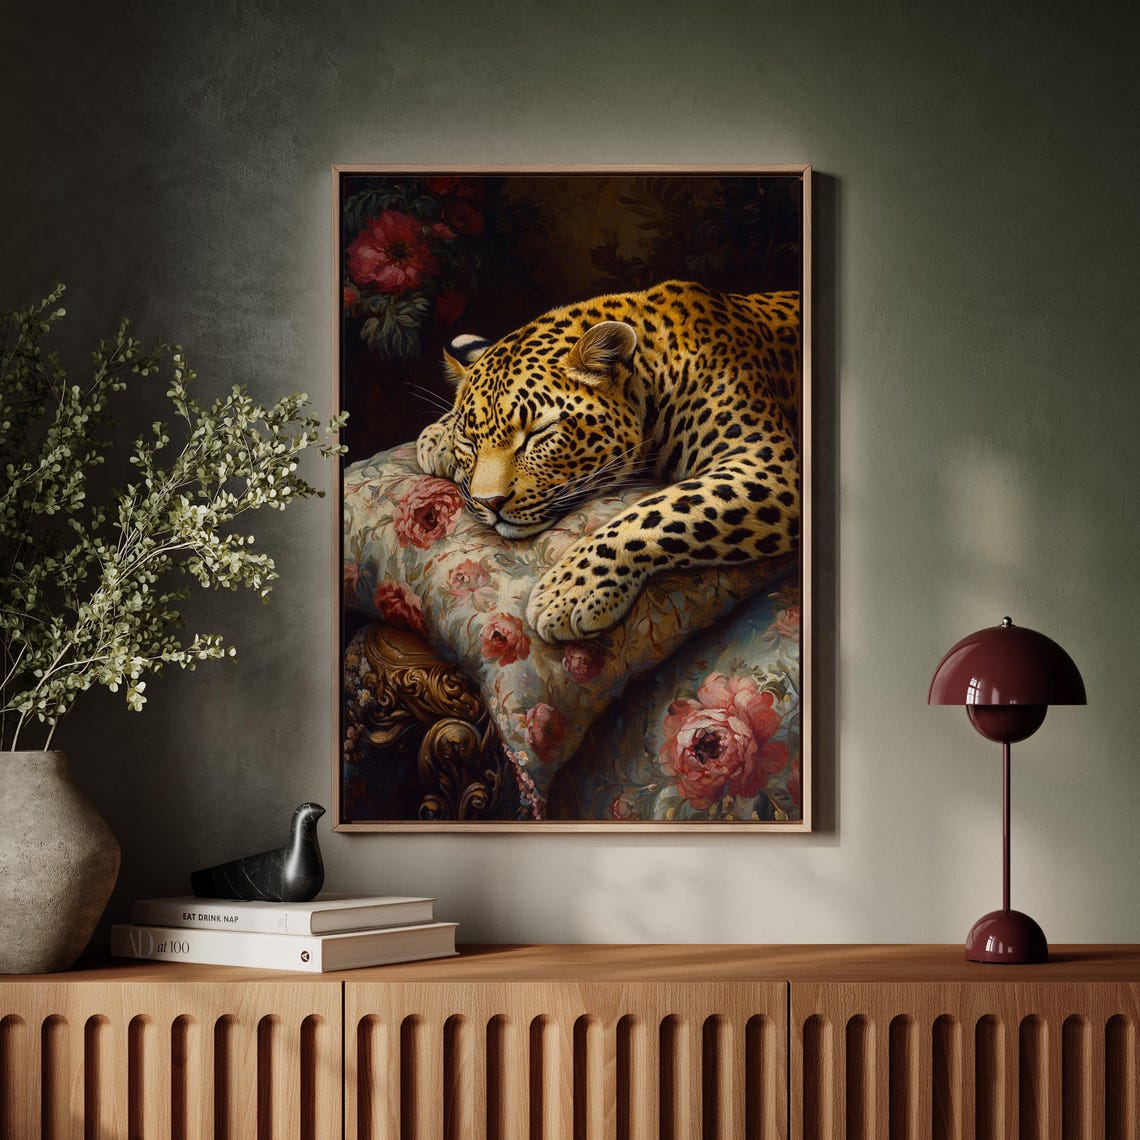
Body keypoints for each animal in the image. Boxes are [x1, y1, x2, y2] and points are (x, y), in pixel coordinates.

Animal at [415, 280, 801, 643]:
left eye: (538, 433)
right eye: (469, 441)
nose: (489, 503)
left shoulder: (769, 463)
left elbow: (663, 510)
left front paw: (569, 590)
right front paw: (437, 437)